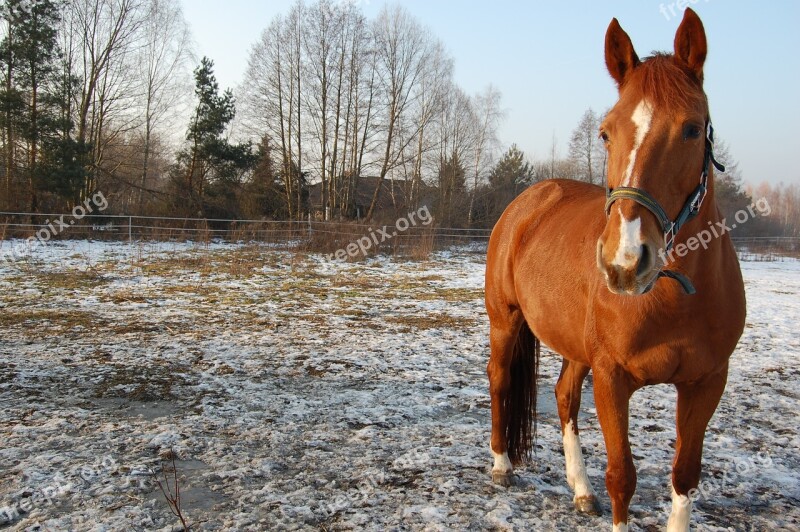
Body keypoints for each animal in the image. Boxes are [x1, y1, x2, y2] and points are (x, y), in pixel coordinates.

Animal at [484, 8, 748, 532]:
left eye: (692, 129)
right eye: (606, 132)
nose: (626, 261)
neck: (673, 297)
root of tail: (527, 202)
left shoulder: (707, 381)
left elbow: (685, 474)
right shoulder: (612, 377)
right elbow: (623, 476)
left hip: (574, 346)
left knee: (564, 396)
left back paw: (580, 490)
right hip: (505, 322)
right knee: (500, 380)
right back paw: (502, 465)